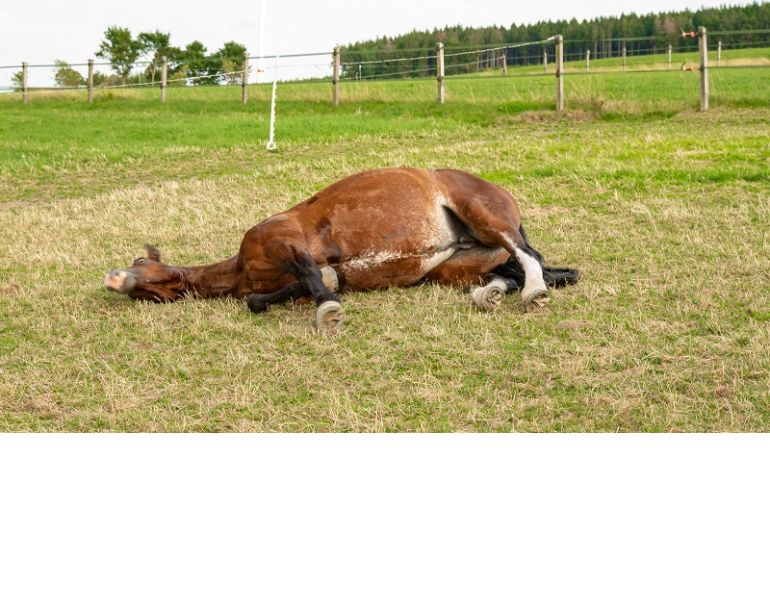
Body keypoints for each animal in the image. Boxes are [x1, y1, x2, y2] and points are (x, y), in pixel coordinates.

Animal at [104, 167, 580, 331]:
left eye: (140, 261)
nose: (113, 279)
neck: (239, 267)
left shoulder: (283, 241)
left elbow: (311, 276)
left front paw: (329, 310)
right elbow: (274, 295)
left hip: (484, 215)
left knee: (528, 258)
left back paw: (532, 291)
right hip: (454, 265)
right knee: (520, 267)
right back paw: (493, 292)